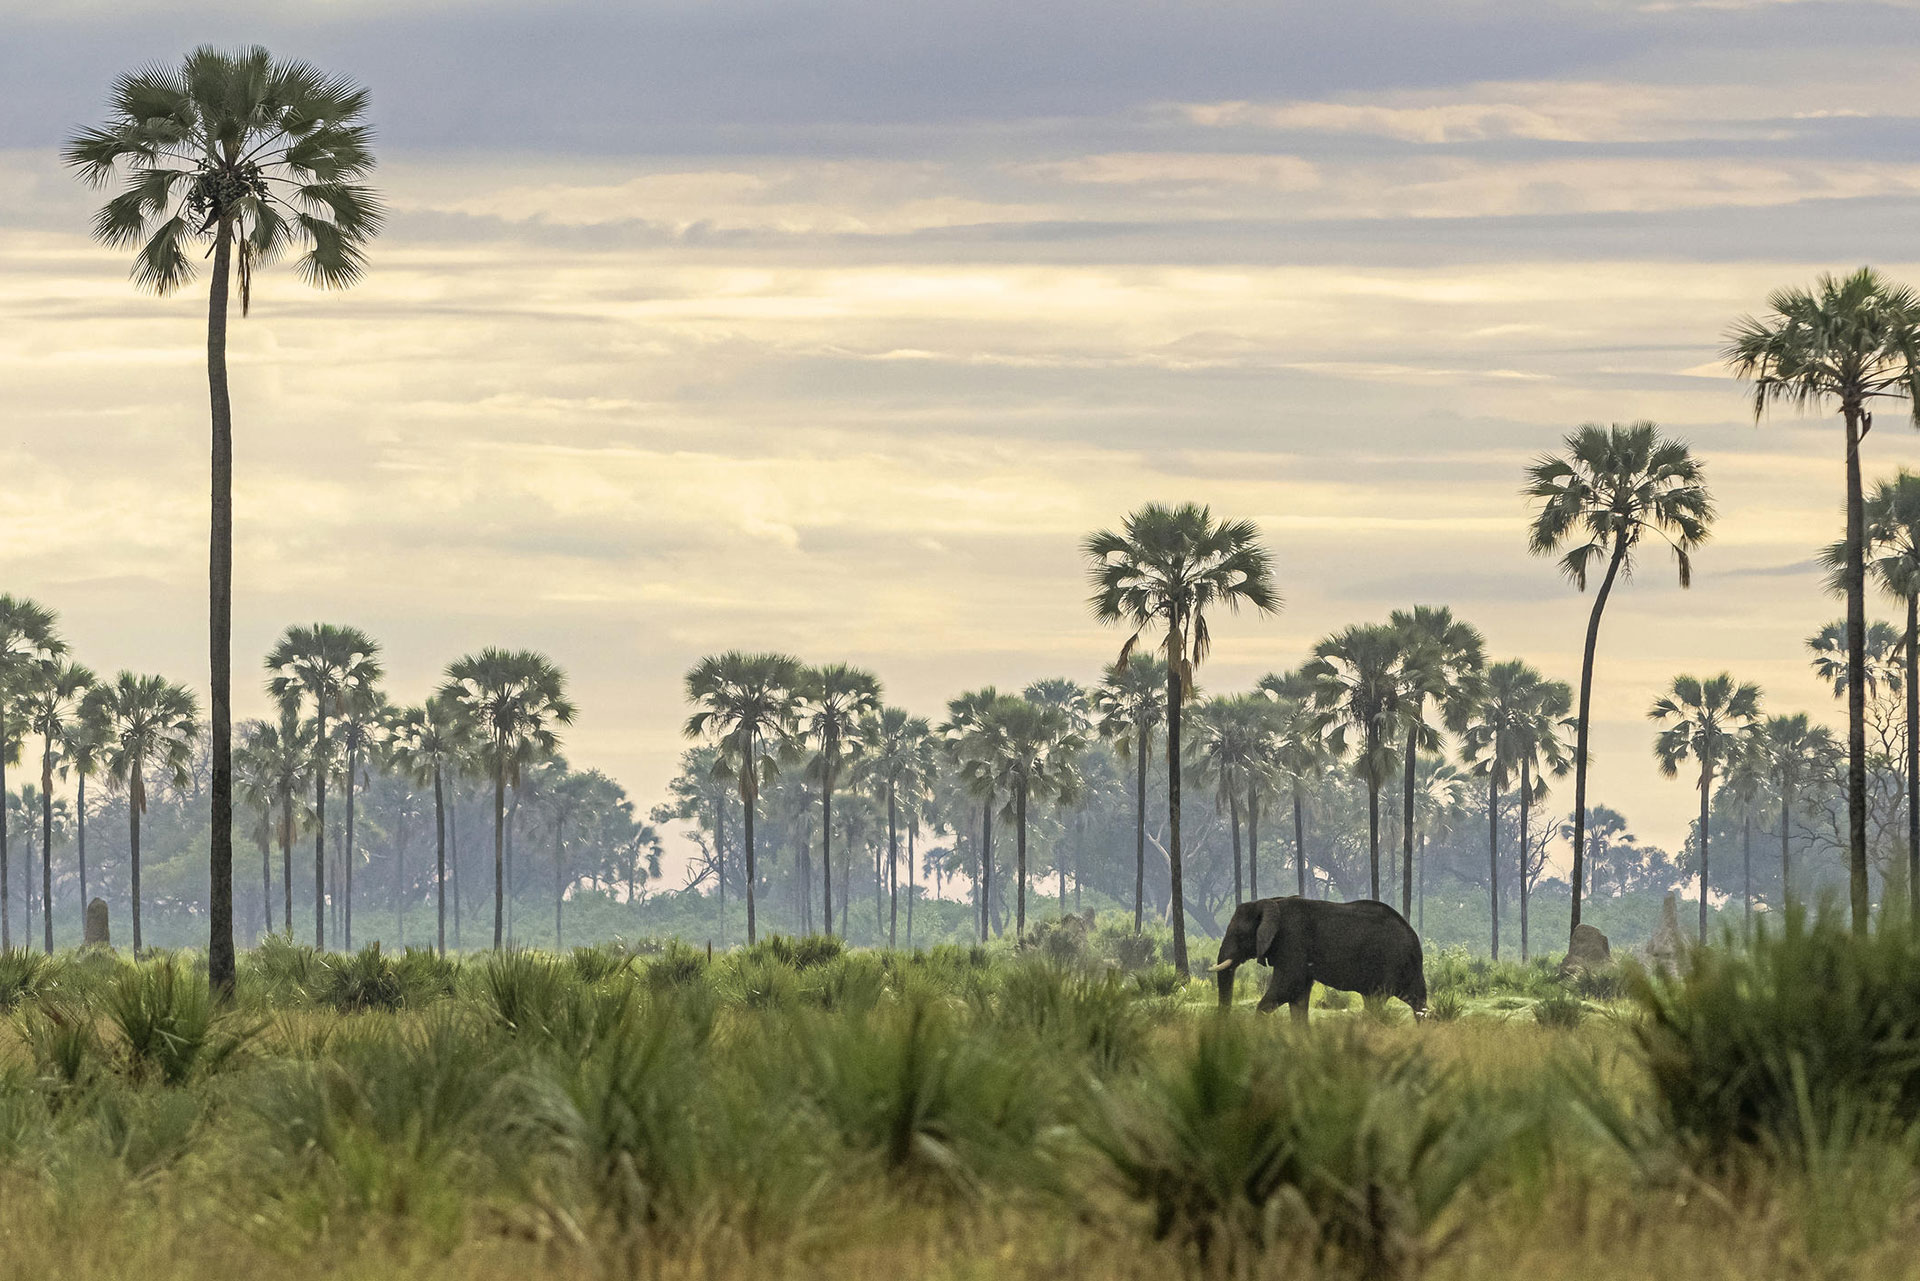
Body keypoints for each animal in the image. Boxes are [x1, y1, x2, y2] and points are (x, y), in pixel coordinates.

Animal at [1212, 895, 1427, 1022]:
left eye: (1239, 935)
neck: (1270, 902)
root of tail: (1413, 936)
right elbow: (1298, 996)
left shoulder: (1292, 940)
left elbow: (1287, 987)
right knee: (1415, 1001)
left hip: (1391, 961)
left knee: (1377, 999)